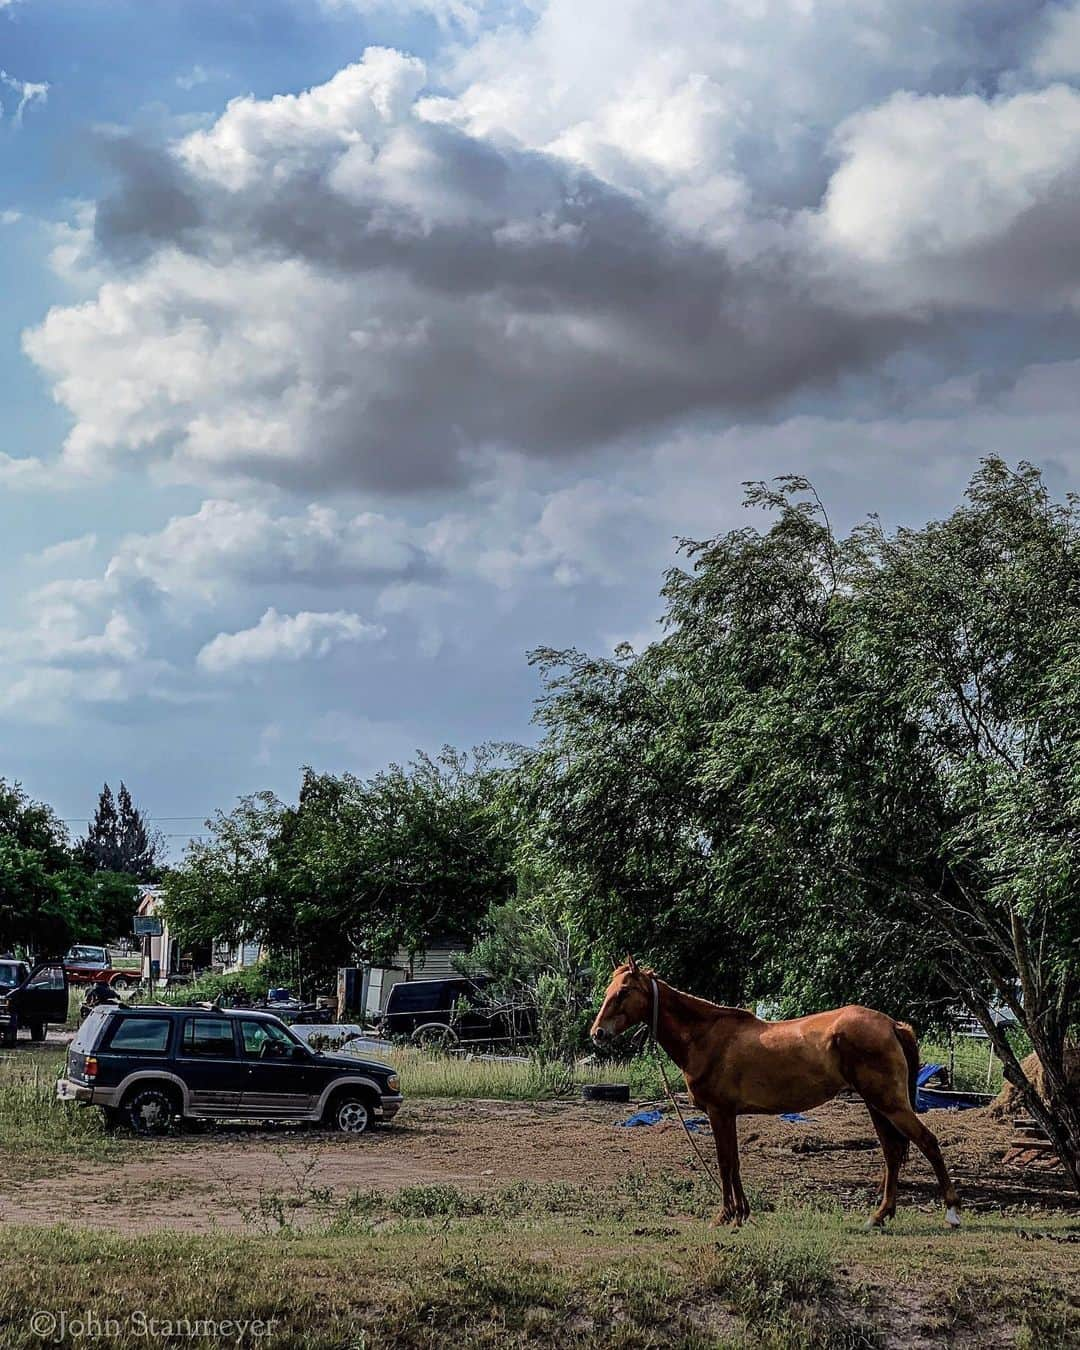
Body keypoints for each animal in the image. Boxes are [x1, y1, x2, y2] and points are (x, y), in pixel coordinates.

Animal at [591, 955, 961, 1231]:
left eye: (623, 991)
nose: (597, 1033)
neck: (706, 1036)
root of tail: (892, 1025)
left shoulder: (719, 1112)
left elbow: (725, 1162)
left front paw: (724, 1216)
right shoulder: (728, 1114)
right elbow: (734, 1162)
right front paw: (741, 1214)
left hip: (889, 1103)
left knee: (927, 1142)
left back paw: (952, 1212)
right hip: (877, 1105)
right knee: (891, 1153)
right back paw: (879, 1216)